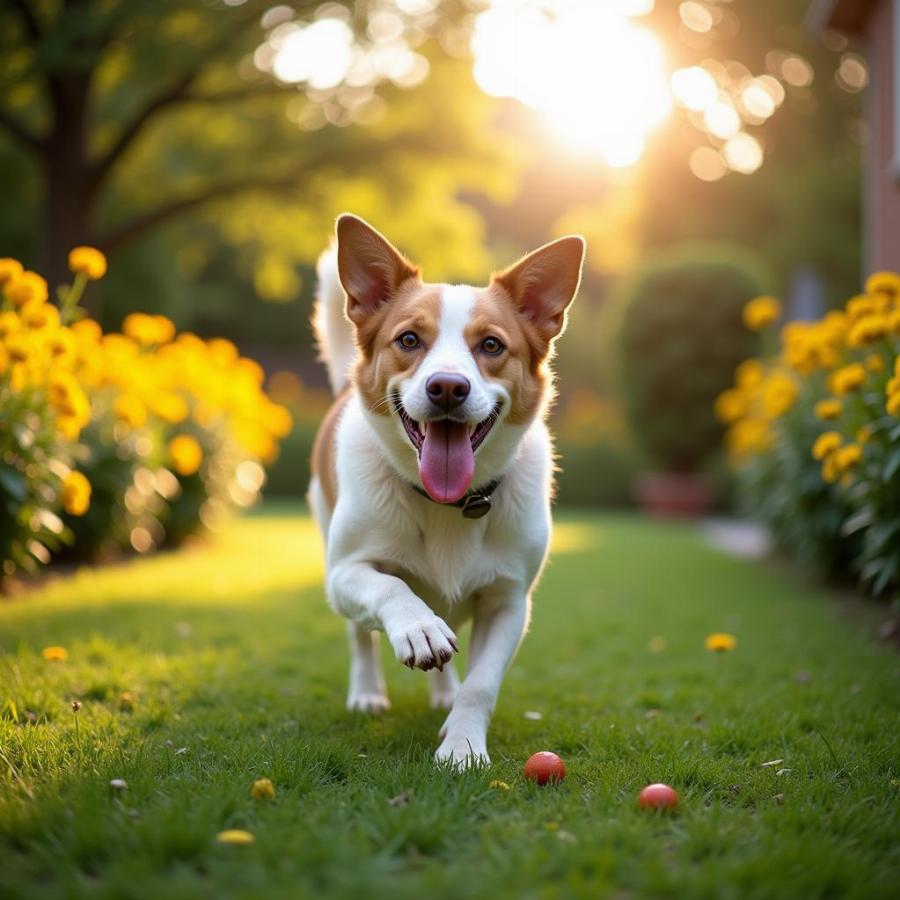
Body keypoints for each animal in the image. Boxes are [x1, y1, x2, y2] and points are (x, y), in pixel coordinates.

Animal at [310, 213, 584, 768]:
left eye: (492, 346)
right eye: (409, 339)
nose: (448, 388)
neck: (448, 504)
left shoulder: (509, 602)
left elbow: (481, 684)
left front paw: (462, 744)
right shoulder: (346, 572)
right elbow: (390, 588)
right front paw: (418, 627)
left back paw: (443, 693)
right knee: (360, 636)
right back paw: (368, 691)